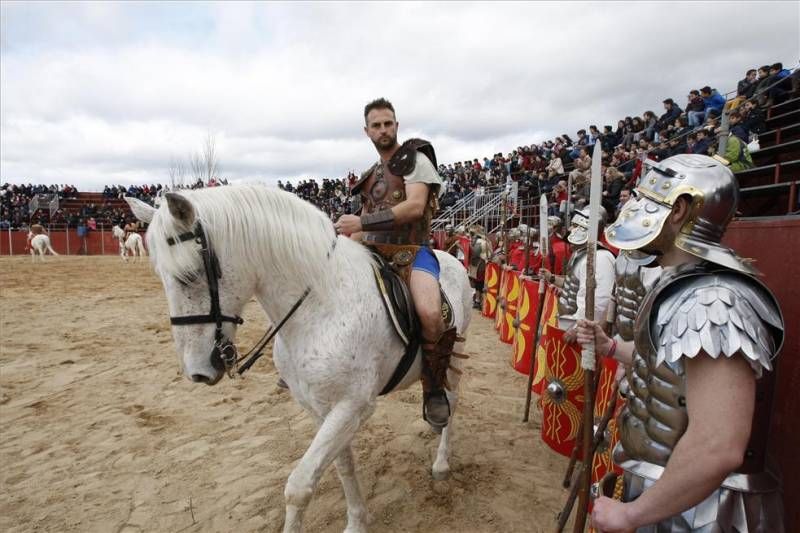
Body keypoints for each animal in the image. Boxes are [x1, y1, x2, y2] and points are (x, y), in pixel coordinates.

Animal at [125, 184, 472, 532]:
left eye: (190, 275)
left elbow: (299, 486)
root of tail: (450, 257)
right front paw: (357, 521)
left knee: (452, 400)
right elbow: (342, 468)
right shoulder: (320, 409)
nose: (196, 371)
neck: (322, 305)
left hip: (453, 355)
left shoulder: (352, 406)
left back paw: (442, 458)